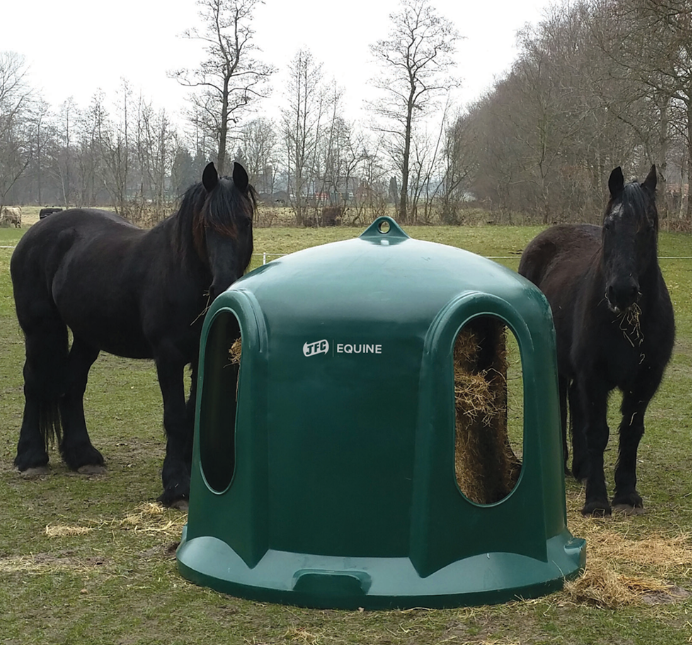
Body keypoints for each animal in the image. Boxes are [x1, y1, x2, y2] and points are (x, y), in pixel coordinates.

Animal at [10, 162, 255, 507]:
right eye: (206, 224)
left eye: (245, 221)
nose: (223, 286)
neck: (181, 274)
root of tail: (35, 232)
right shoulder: (168, 357)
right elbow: (175, 417)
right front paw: (177, 487)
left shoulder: (199, 357)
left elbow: (192, 415)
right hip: (40, 329)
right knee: (34, 382)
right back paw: (31, 458)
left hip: (87, 336)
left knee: (73, 384)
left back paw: (83, 456)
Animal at [518, 165, 674, 516]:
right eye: (608, 225)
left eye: (650, 226)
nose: (622, 291)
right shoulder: (594, 376)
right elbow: (597, 432)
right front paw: (597, 501)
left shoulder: (646, 380)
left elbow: (631, 432)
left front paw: (626, 494)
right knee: (564, 407)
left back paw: (583, 468)